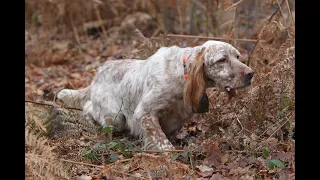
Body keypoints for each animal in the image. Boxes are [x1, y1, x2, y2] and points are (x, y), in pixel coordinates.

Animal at [57, 40, 252, 150]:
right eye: (222, 60)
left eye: (237, 56)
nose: (251, 74)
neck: (182, 75)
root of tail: (99, 72)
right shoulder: (144, 113)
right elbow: (163, 143)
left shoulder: (178, 117)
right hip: (115, 118)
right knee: (89, 108)